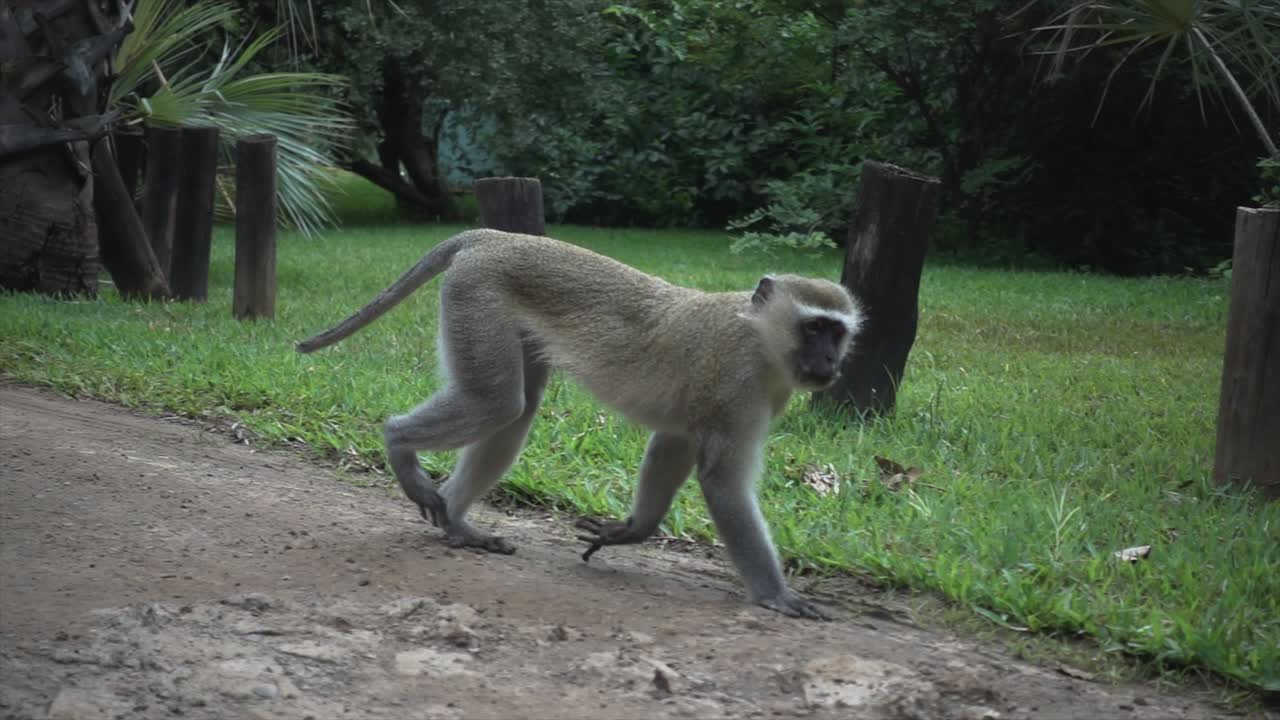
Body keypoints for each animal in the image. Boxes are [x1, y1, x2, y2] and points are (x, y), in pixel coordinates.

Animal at [296, 229, 863, 620]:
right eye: (813, 328)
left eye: (836, 333)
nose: (828, 364)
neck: (758, 338)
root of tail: (492, 235)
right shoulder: (734, 384)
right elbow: (722, 481)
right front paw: (775, 594)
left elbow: (674, 442)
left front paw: (632, 531)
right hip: (475, 297)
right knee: (496, 403)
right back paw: (398, 442)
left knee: (516, 408)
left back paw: (456, 523)